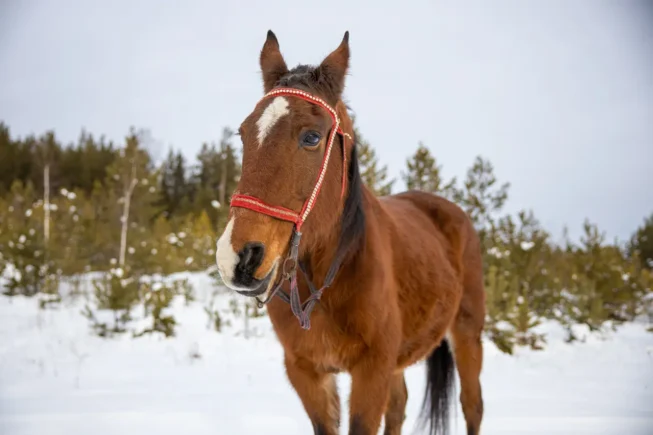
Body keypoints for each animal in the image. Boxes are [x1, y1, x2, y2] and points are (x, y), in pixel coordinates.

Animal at [215, 30, 485, 435]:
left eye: (312, 138)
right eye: (243, 134)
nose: (239, 257)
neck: (327, 278)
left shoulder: (372, 370)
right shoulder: (306, 372)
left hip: (467, 333)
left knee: (472, 406)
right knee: (399, 406)